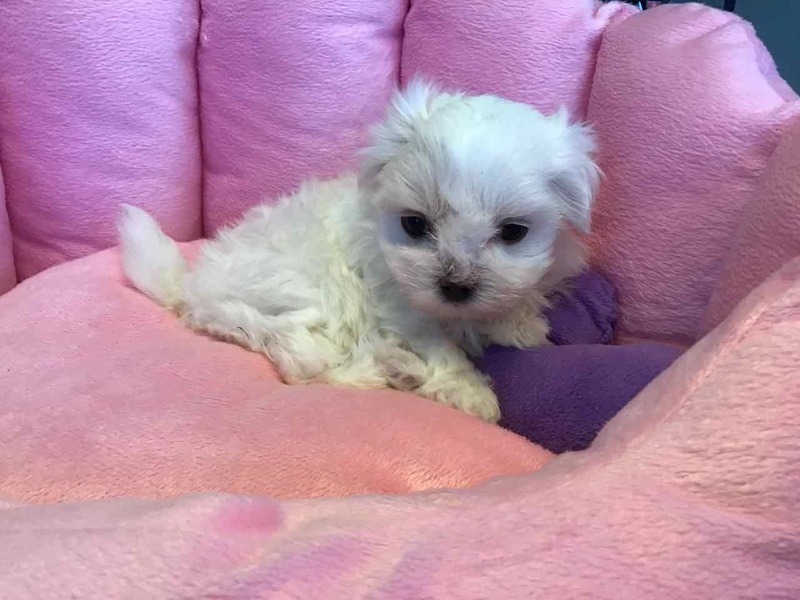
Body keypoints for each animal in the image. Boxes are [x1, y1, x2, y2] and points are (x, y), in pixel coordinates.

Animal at [118, 80, 599, 423]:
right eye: (414, 225)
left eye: (513, 232)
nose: (455, 286)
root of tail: (192, 289)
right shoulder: (401, 306)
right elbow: (440, 347)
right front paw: (468, 391)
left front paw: (519, 326)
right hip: (297, 296)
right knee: (301, 360)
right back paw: (391, 368)